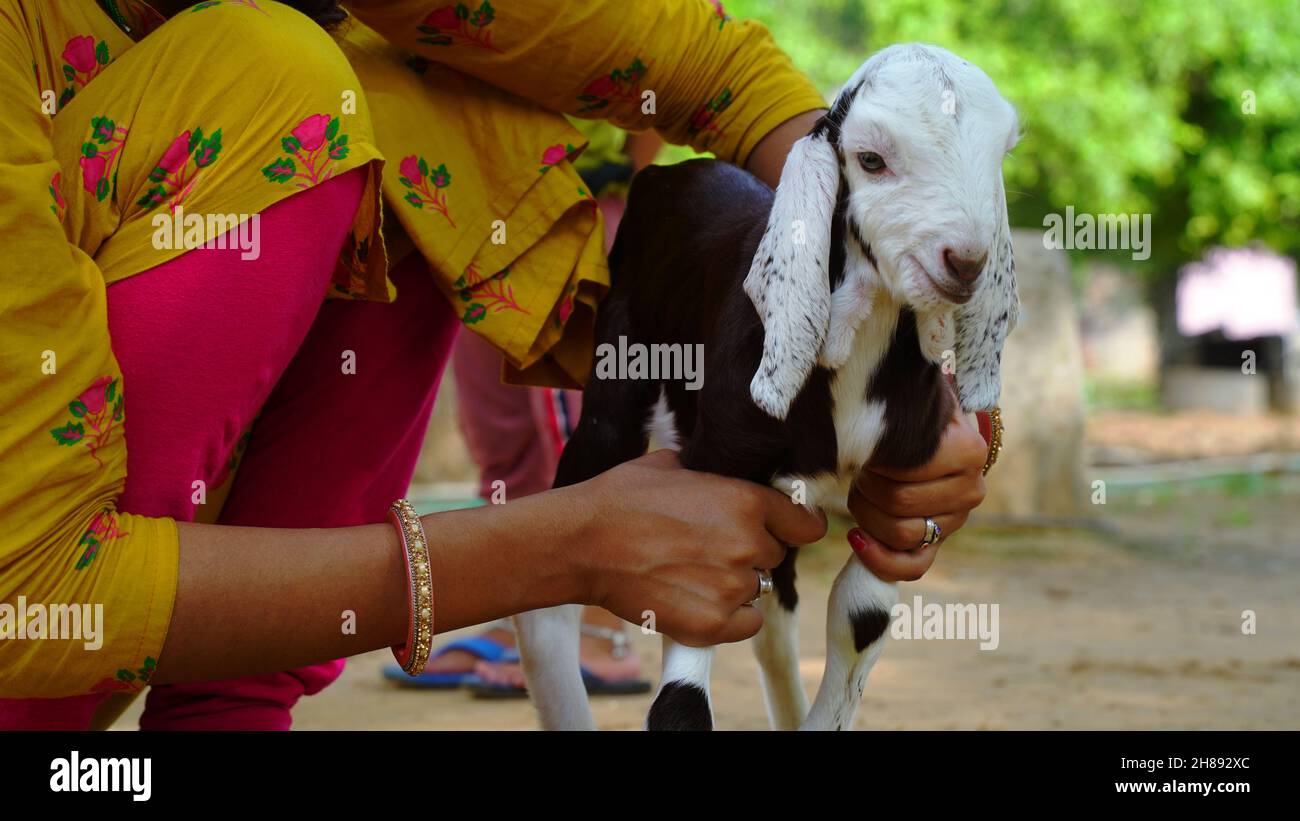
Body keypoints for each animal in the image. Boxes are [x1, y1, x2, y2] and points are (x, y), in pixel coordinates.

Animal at [512, 41, 1019, 727]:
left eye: (999, 157)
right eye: (871, 160)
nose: (964, 263)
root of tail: (670, 174)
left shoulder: (903, 490)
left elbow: (857, 615)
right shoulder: (716, 492)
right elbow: (681, 698)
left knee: (775, 608)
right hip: (616, 381)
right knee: (551, 591)